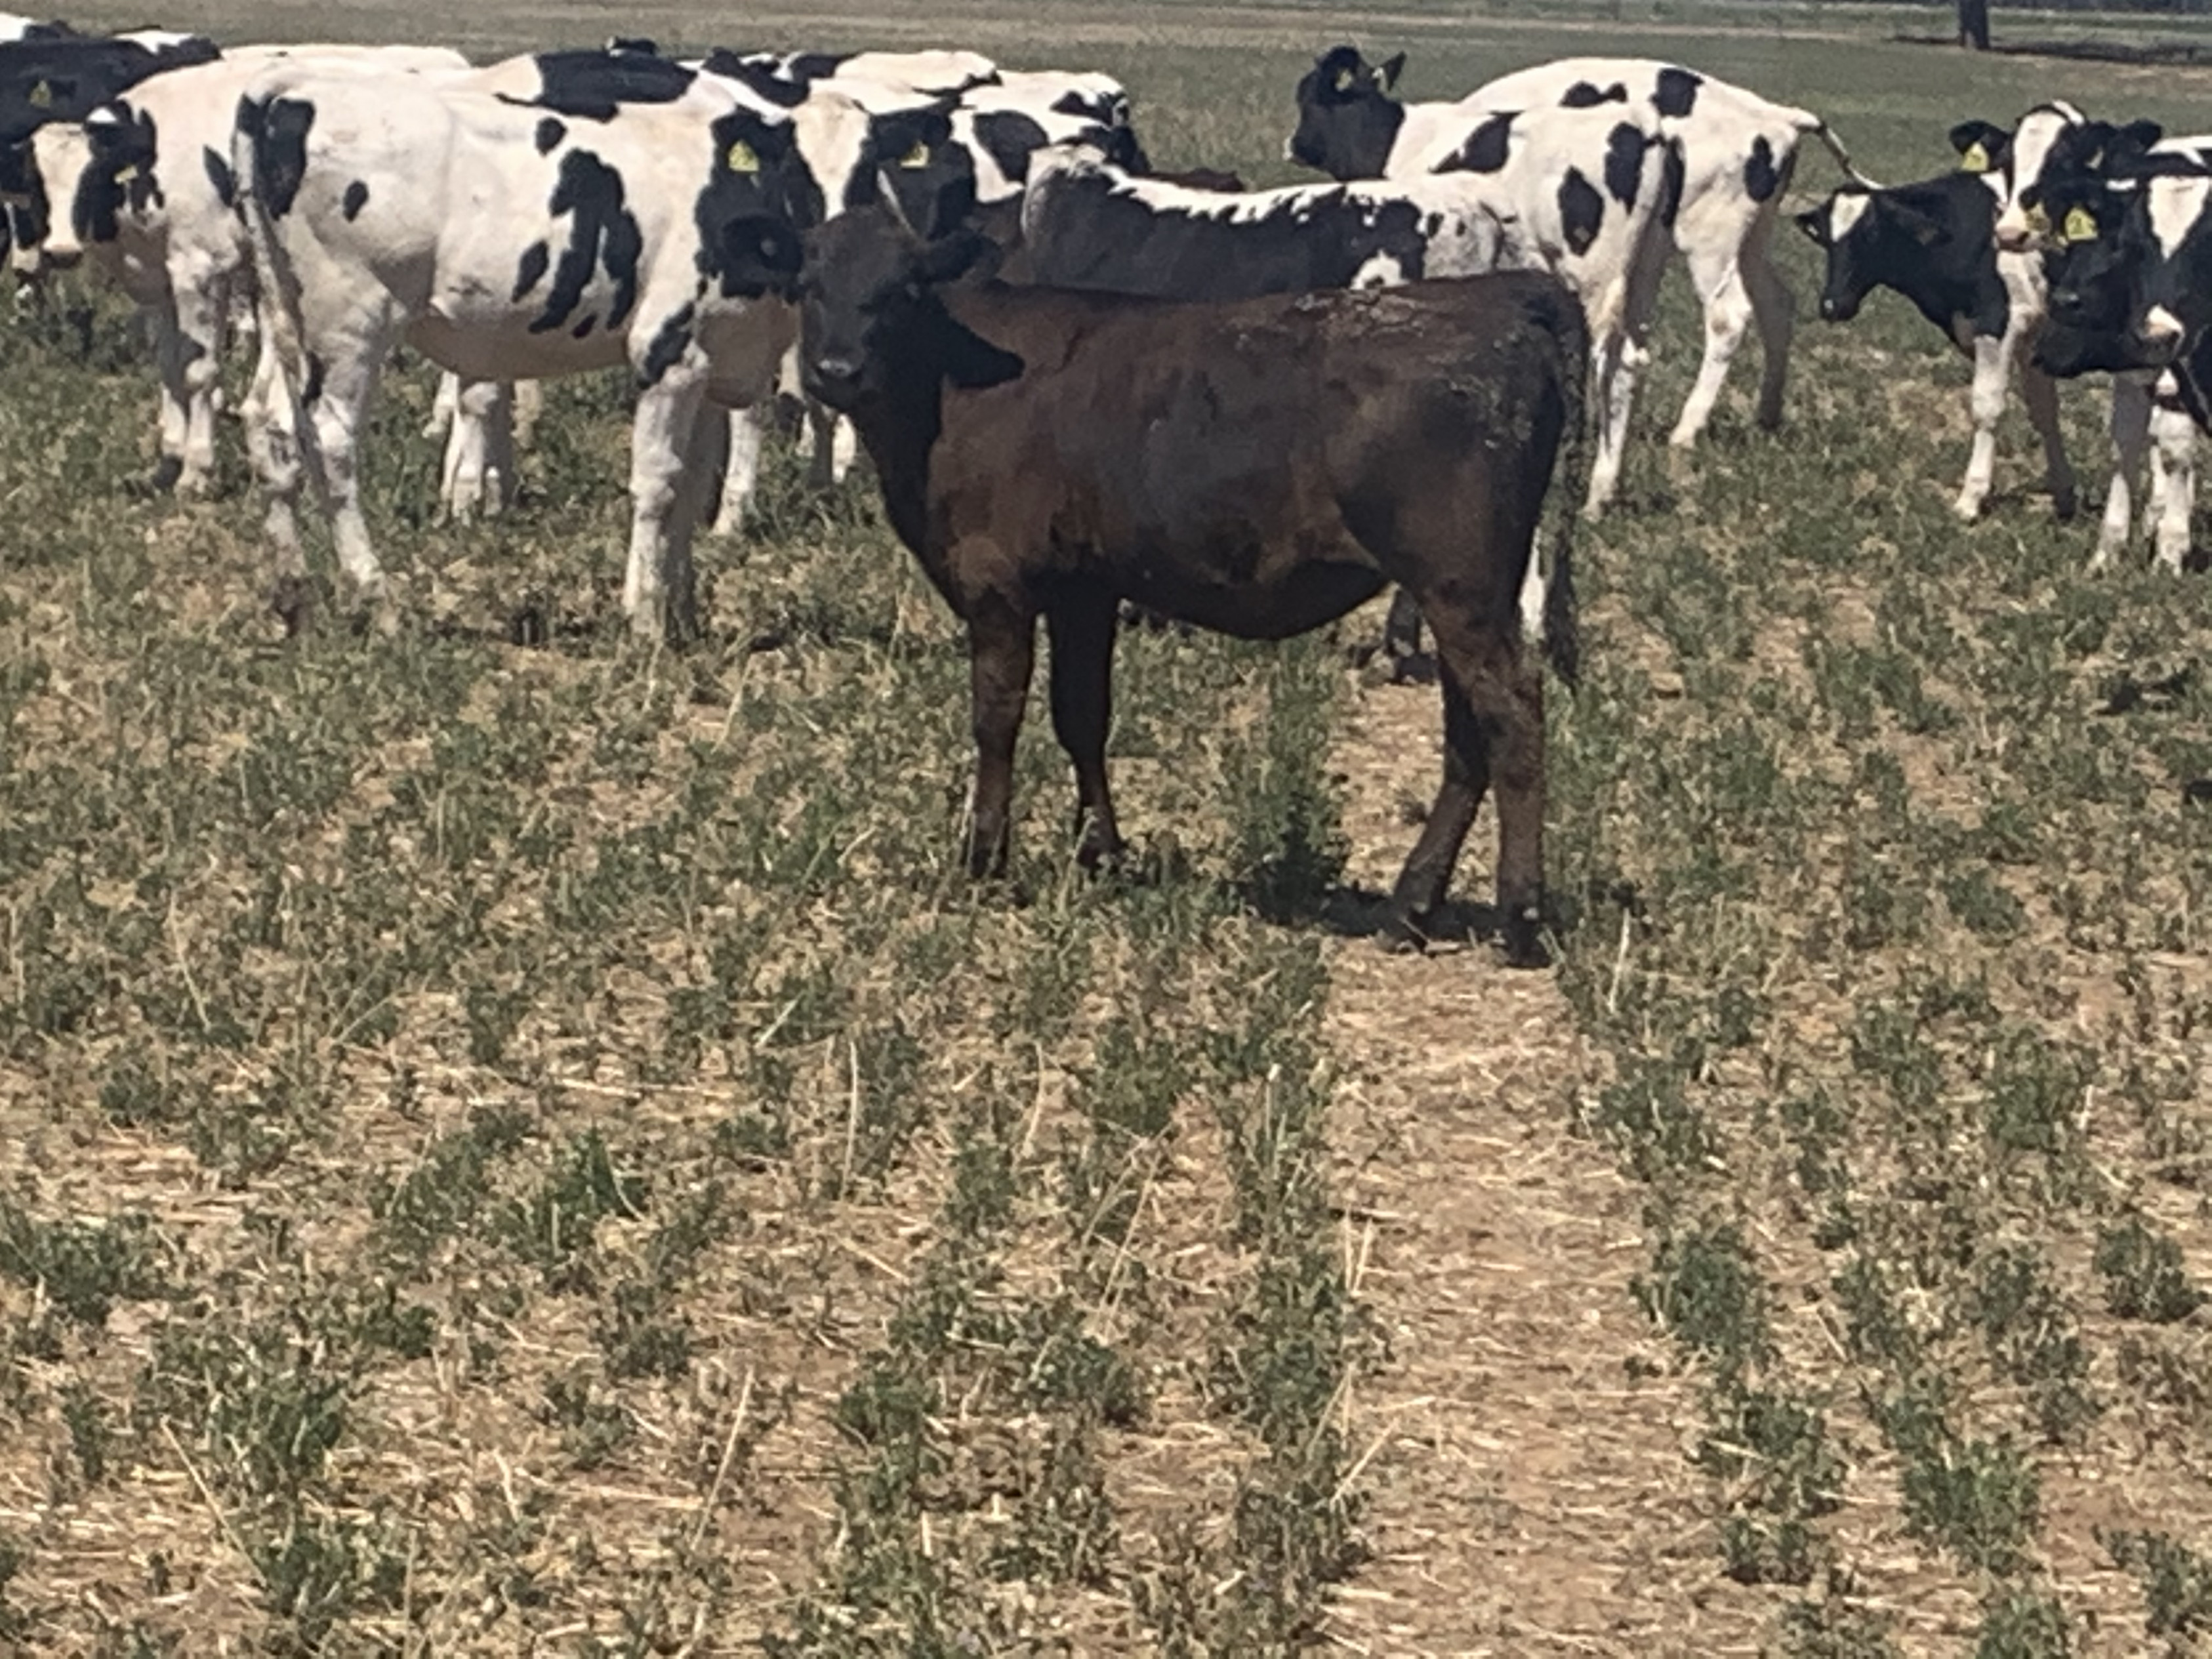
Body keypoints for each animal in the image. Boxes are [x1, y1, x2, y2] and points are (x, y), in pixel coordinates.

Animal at [796, 204, 1590, 966]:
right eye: (809, 285)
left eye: (901, 291)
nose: (836, 368)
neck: (951, 383)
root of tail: (1501, 296)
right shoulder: (1084, 589)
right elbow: (1081, 715)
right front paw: (1102, 854)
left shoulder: (998, 587)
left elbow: (997, 719)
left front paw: (984, 859)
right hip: (1464, 595)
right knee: (1468, 735)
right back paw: (1409, 910)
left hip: (1461, 589)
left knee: (1513, 717)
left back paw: (1518, 918)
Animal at [1288, 45, 1868, 462]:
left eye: (1307, 100)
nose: (1292, 144)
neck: (1408, 137)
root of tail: (1773, 116)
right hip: (1734, 243)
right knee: (1775, 305)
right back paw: (1764, 415)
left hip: (1703, 244)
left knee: (1726, 318)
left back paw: (1682, 430)